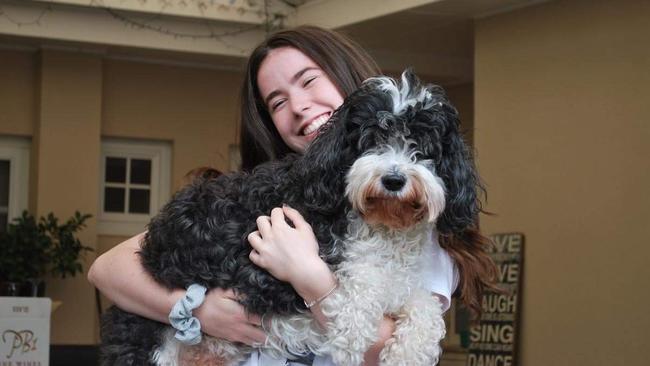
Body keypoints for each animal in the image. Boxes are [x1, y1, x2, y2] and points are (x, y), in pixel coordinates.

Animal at [98, 70, 478, 364]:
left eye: (424, 147)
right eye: (371, 139)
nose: (394, 180)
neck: (379, 224)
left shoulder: (402, 281)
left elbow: (425, 306)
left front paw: (409, 351)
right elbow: (360, 289)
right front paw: (350, 339)